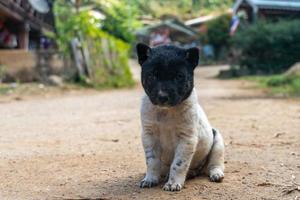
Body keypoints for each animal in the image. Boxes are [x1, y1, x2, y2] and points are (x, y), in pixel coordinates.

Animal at [137, 43, 224, 191]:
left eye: (179, 76)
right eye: (152, 76)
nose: (163, 97)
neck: (166, 111)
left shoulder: (186, 139)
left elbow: (178, 164)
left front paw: (173, 183)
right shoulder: (149, 136)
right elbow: (152, 161)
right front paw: (150, 179)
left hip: (218, 142)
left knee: (215, 163)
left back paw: (216, 173)